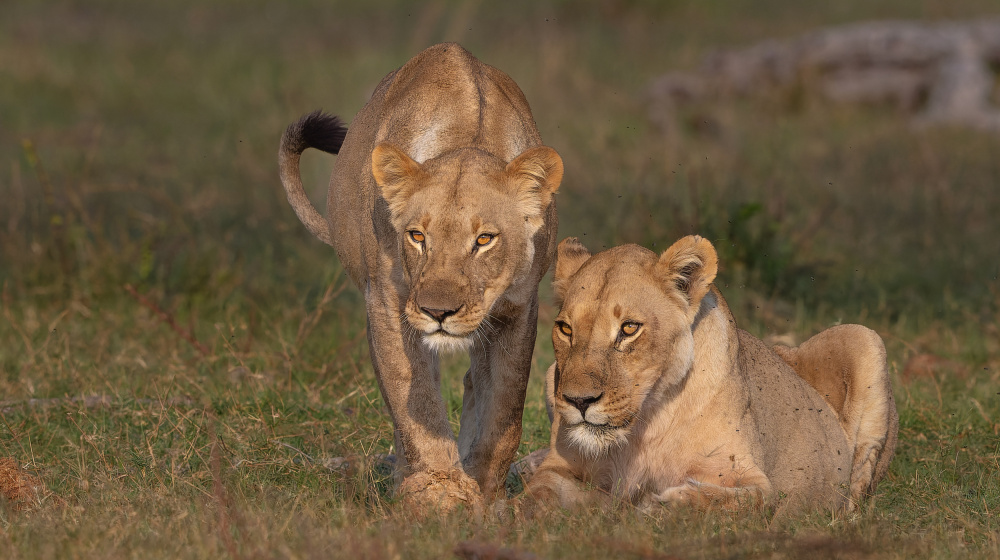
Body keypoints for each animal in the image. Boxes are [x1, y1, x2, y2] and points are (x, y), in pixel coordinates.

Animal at [278, 41, 564, 510]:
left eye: (484, 239)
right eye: (416, 236)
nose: (438, 312)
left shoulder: (519, 308)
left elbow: (504, 410)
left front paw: (486, 494)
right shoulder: (387, 302)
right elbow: (417, 404)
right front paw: (437, 492)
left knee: (474, 382)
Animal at [524, 234, 900, 516]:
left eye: (629, 328)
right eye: (565, 329)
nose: (578, 401)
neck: (645, 424)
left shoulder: (754, 481)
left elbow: (722, 501)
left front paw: (655, 505)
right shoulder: (562, 469)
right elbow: (537, 495)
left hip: (864, 337)